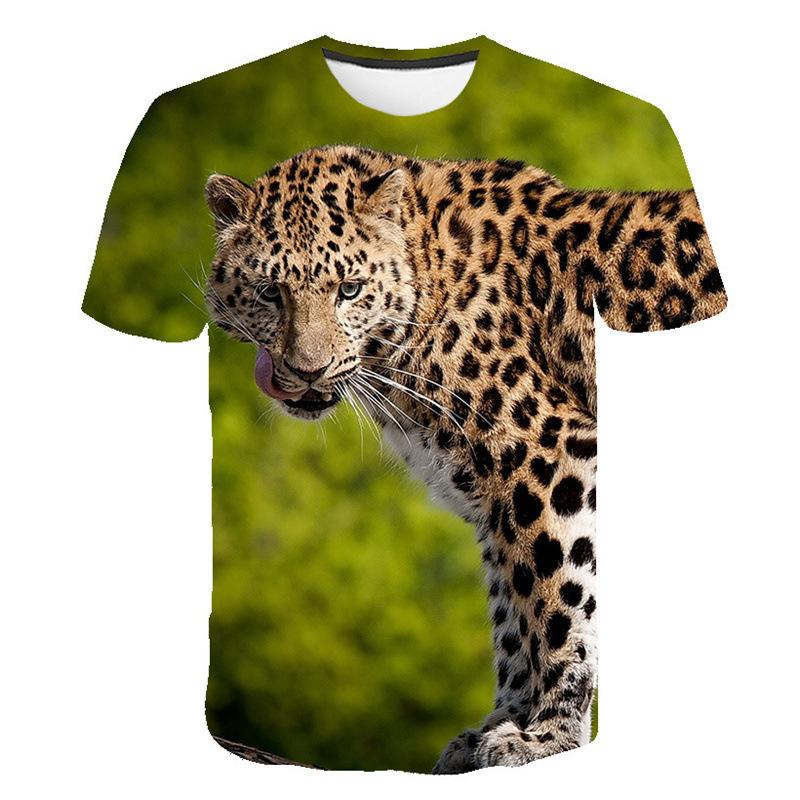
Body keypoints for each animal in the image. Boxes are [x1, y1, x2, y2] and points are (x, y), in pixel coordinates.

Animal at [203, 145, 726, 772]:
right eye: (269, 292)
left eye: (349, 290)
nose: (306, 370)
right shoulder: (497, 500)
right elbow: (512, 614)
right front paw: (497, 726)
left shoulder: (553, 457)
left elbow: (557, 603)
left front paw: (547, 738)